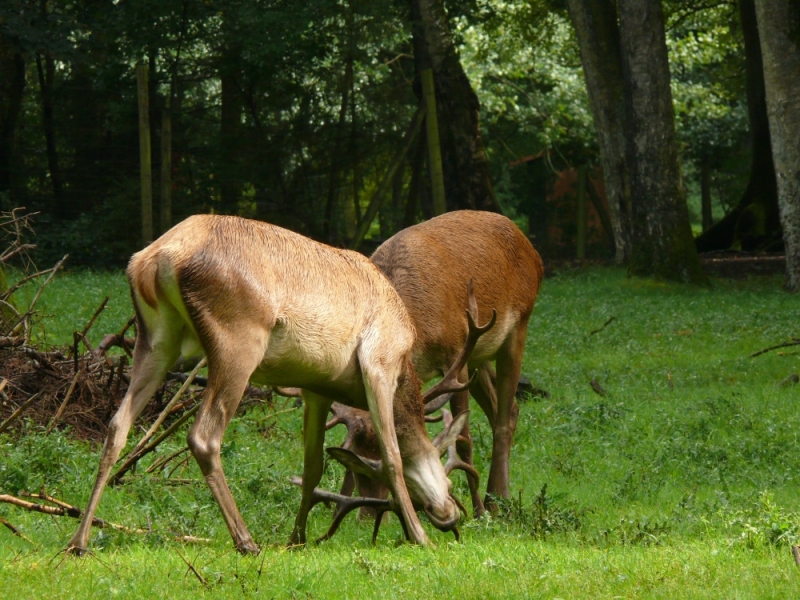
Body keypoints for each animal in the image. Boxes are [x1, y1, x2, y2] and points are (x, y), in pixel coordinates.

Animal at [67, 213, 476, 556]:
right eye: (449, 486)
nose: (449, 516)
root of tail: (155, 259)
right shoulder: (379, 362)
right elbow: (392, 454)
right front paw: (420, 537)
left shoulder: (316, 389)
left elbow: (312, 466)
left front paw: (298, 537)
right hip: (238, 340)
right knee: (203, 436)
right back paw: (246, 540)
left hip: (155, 338)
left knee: (118, 425)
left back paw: (79, 540)